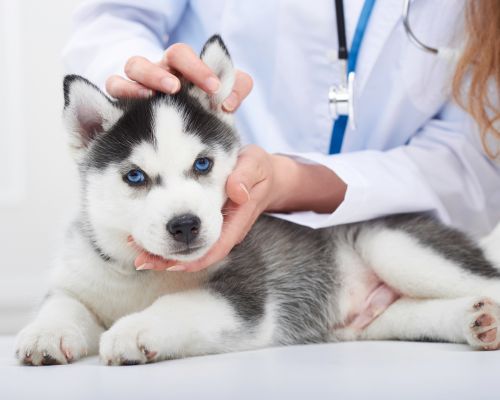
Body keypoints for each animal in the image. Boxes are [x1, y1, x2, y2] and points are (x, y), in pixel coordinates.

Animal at [15, 36, 500, 364]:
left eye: (203, 164)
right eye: (135, 176)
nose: (185, 225)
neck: (142, 278)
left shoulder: (246, 295)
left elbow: (180, 305)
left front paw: (134, 328)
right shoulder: (80, 276)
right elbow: (62, 303)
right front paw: (44, 333)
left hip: (391, 244)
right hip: (378, 320)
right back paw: (475, 321)